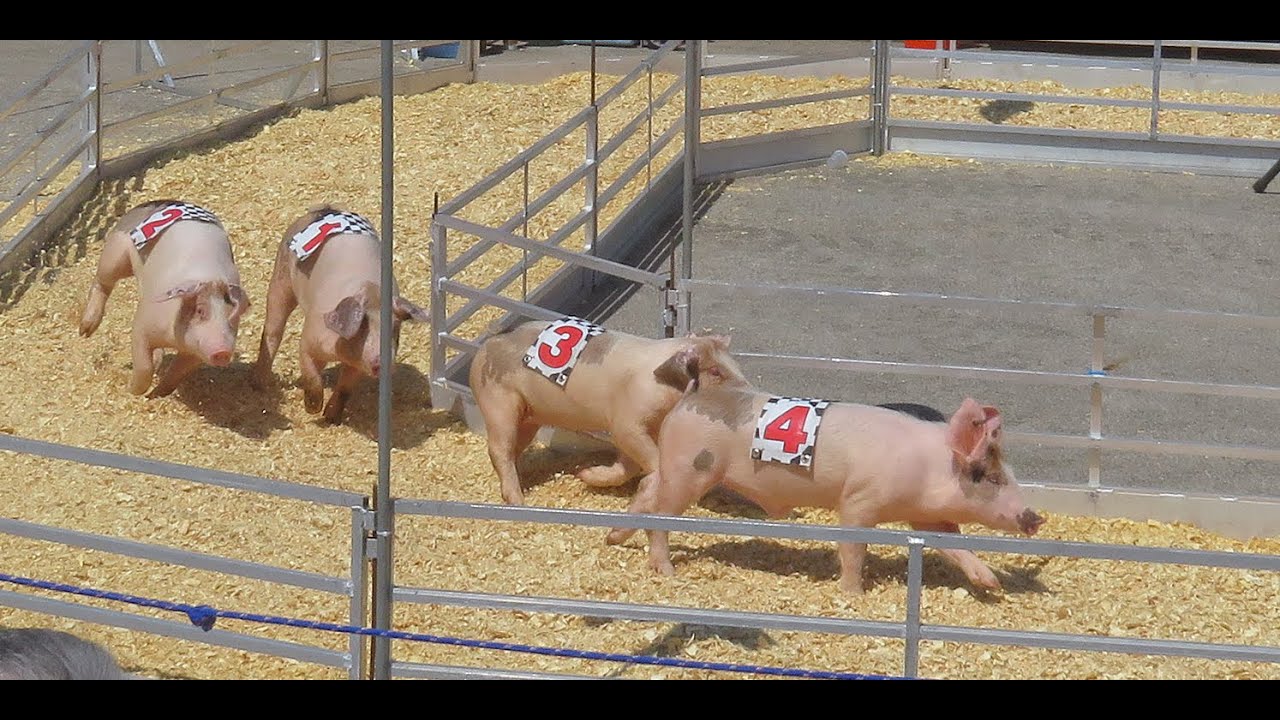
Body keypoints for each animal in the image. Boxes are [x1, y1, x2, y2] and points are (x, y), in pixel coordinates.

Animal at [79, 199, 250, 397]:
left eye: (232, 316)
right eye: (200, 310)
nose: (223, 351)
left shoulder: (194, 353)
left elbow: (175, 374)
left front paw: (156, 395)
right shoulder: (142, 325)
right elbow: (143, 366)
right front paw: (132, 392)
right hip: (114, 253)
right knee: (102, 282)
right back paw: (85, 331)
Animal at [253, 203, 428, 424]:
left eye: (395, 327)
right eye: (363, 325)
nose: (383, 362)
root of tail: (324, 208)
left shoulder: (358, 364)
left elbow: (345, 389)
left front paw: (331, 418)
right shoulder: (309, 339)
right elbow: (312, 377)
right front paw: (313, 410)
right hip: (280, 279)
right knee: (273, 331)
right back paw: (259, 384)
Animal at [469, 320, 747, 505]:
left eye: (734, 364)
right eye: (715, 372)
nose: (747, 389)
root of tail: (490, 341)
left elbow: (628, 464)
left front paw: (585, 476)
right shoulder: (627, 421)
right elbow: (646, 455)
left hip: (529, 416)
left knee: (514, 448)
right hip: (498, 401)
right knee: (499, 448)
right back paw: (518, 500)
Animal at [606, 376, 1046, 595]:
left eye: (1007, 474)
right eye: (991, 477)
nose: (1035, 517)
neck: (927, 468)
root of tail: (688, 400)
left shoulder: (925, 517)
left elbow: (954, 545)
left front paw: (991, 585)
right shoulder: (860, 500)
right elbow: (853, 548)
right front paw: (854, 594)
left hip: (676, 467)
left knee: (647, 489)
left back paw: (613, 538)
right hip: (692, 470)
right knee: (660, 517)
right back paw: (666, 572)